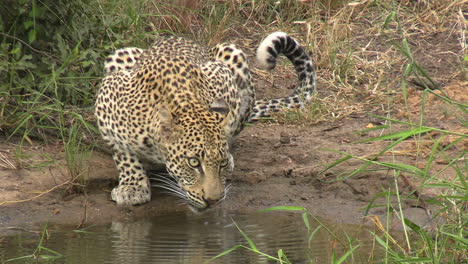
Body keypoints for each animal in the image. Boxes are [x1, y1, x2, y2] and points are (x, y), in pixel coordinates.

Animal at [94, 32, 316, 209]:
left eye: (222, 163)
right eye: (193, 162)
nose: (213, 200)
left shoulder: (223, 77)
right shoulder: (107, 97)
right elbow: (123, 152)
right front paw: (132, 187)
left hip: (232, 51)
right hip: (120, 55)